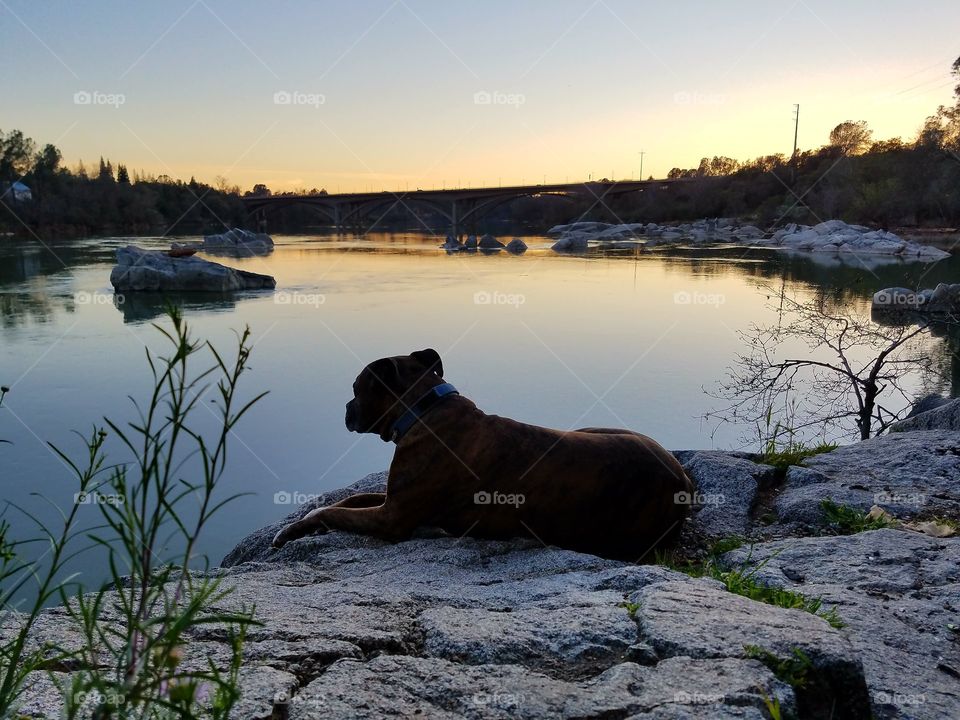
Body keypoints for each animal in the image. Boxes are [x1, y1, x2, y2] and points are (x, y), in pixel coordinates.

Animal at [274, 352, 692, 560]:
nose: (346, 408)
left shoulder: (391, 517)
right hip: (594, 429)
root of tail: (684, 480)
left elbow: (332, 512)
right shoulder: (391, 498)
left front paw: (292, 529)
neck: (425, 409)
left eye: (356, 389)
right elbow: (351, 498)